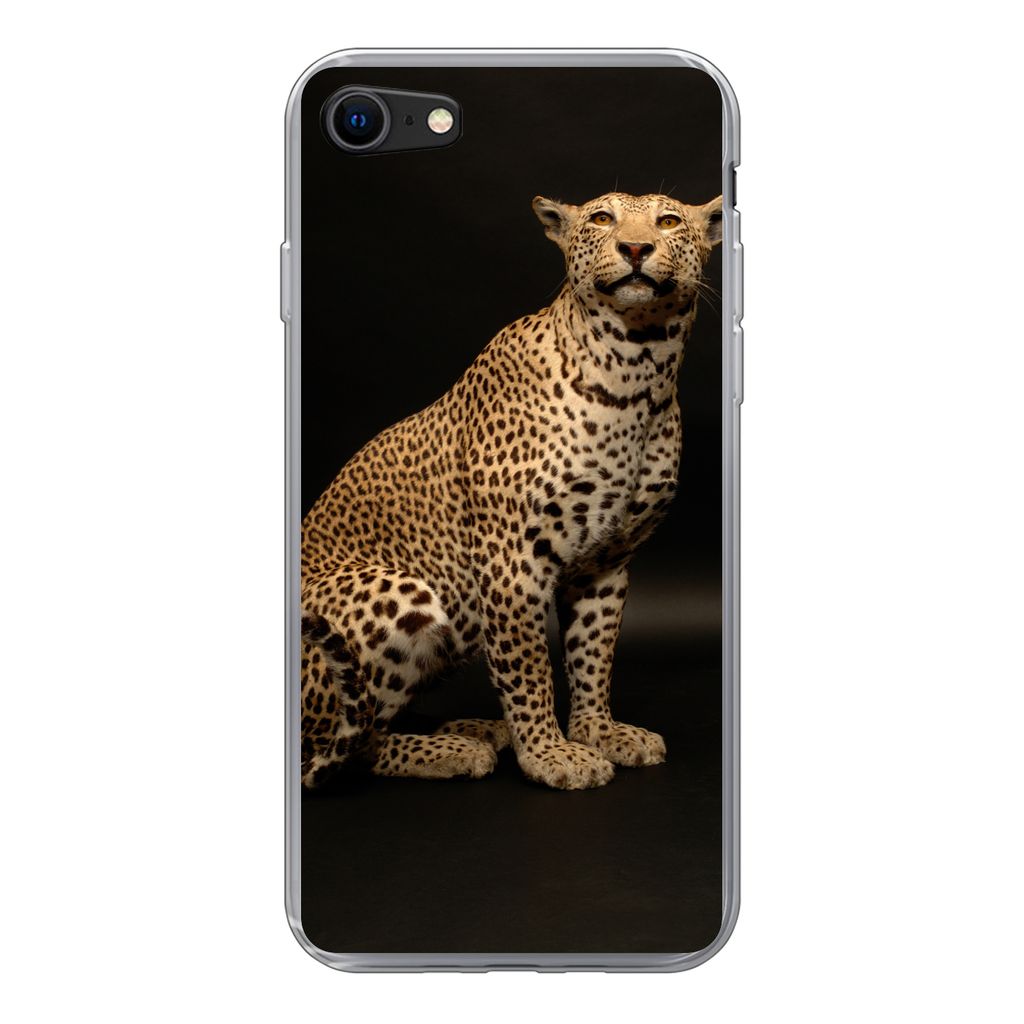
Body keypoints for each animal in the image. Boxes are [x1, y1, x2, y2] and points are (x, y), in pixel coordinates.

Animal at [301, 190, 723, 790]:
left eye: (667, 221)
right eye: (602, 219)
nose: (636, 248)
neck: (639, 371)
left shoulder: (607, 564)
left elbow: (593, 656)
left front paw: (598, 731)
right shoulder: (511, 560)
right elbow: (528, 668)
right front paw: (550, 753)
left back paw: (472, 728)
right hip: (397, 592)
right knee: (344, 745)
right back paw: (453, 749)